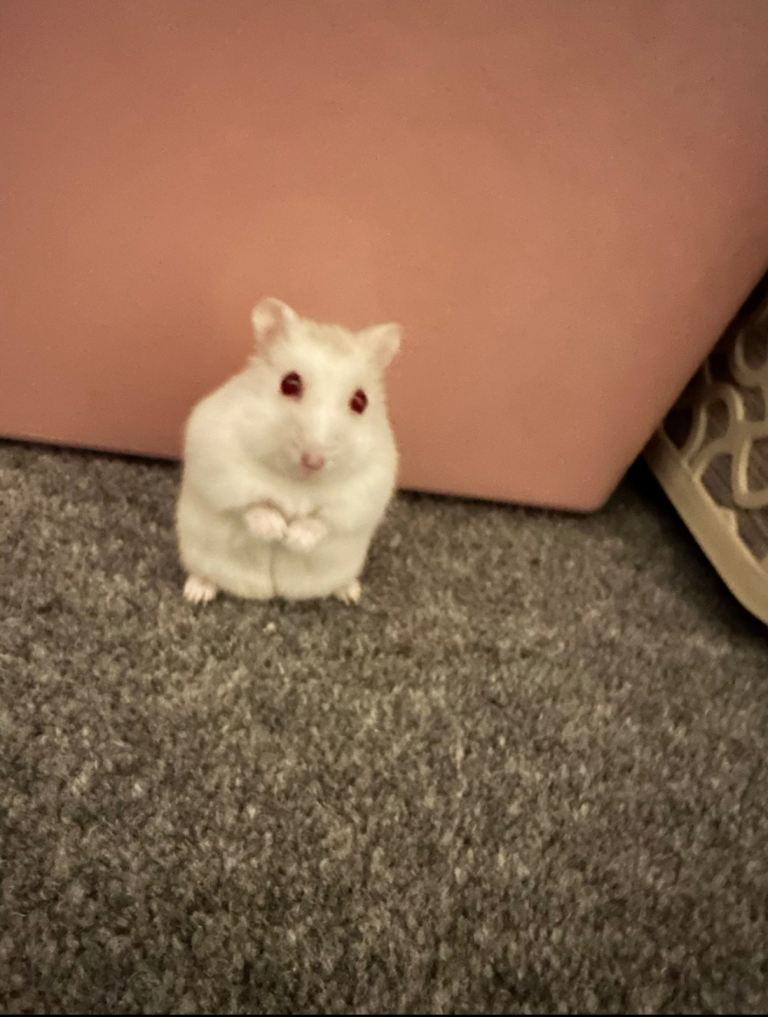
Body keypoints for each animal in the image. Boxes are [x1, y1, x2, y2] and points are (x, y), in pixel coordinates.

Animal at [175, 297, 402, 605]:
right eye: (289, 383)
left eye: (361, 401)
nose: (313, 460)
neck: (298, 481)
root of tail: (270, 592)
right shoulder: (220, 464)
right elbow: (251, 505)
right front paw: (278, 530)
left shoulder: (364, 491)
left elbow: (322, 520)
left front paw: (293, 538)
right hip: (198, 551)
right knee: (205, 574)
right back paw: (196, 594)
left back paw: (351, 594)